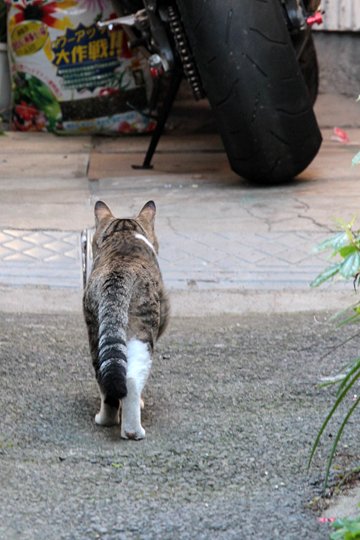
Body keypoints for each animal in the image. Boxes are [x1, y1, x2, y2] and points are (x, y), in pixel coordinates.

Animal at [83, 200, 170, 440]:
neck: (124, 233)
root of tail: (118, 277)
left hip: (96, 332)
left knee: (105, 377)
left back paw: (105, 419)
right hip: (143, 334)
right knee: (131, 379)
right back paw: (133, 430)